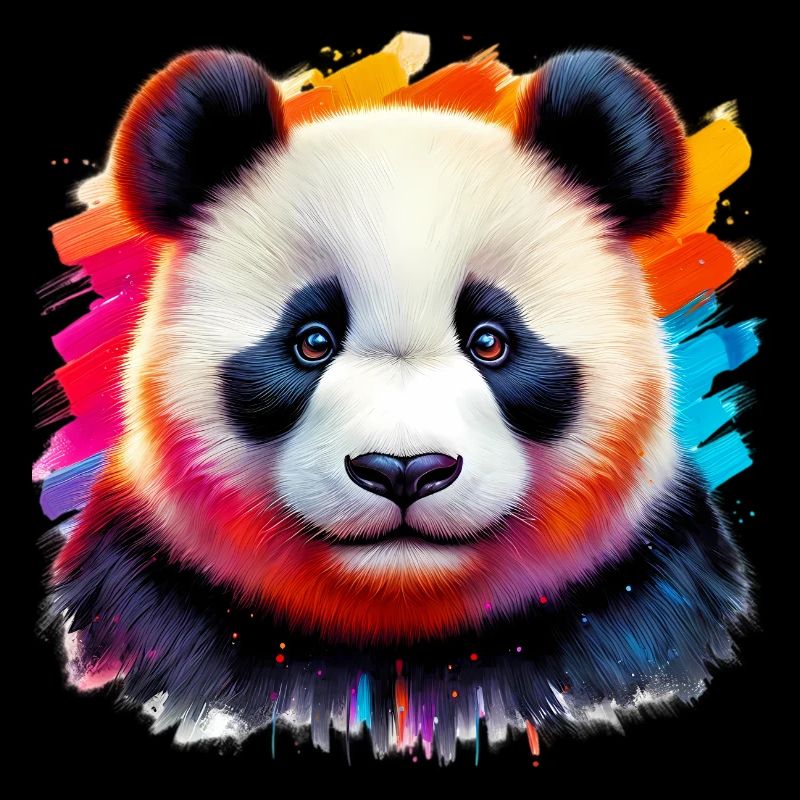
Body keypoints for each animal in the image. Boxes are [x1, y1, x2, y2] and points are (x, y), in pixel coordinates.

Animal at [44, 46, 751, 761]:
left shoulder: (642, 594)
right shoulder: (153, 595)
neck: (401, 631)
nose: (404, 471)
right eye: (312, 341)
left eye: (490, 341)